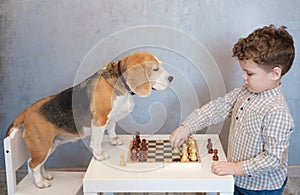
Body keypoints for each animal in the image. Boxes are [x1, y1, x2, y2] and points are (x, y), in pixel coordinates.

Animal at [5, 51, 172, 187]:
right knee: (32, 164)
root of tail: (27, 111)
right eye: (155, 69)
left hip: (49, 146)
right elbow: (96, 141)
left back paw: (45, 176)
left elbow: (112, 129)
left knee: (38, 164)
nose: (171, 78)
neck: (120, 81)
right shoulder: (100, 120)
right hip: (42, 147)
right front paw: (99, 155)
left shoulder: (110, 118)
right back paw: (40, 182)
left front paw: (114, 140)